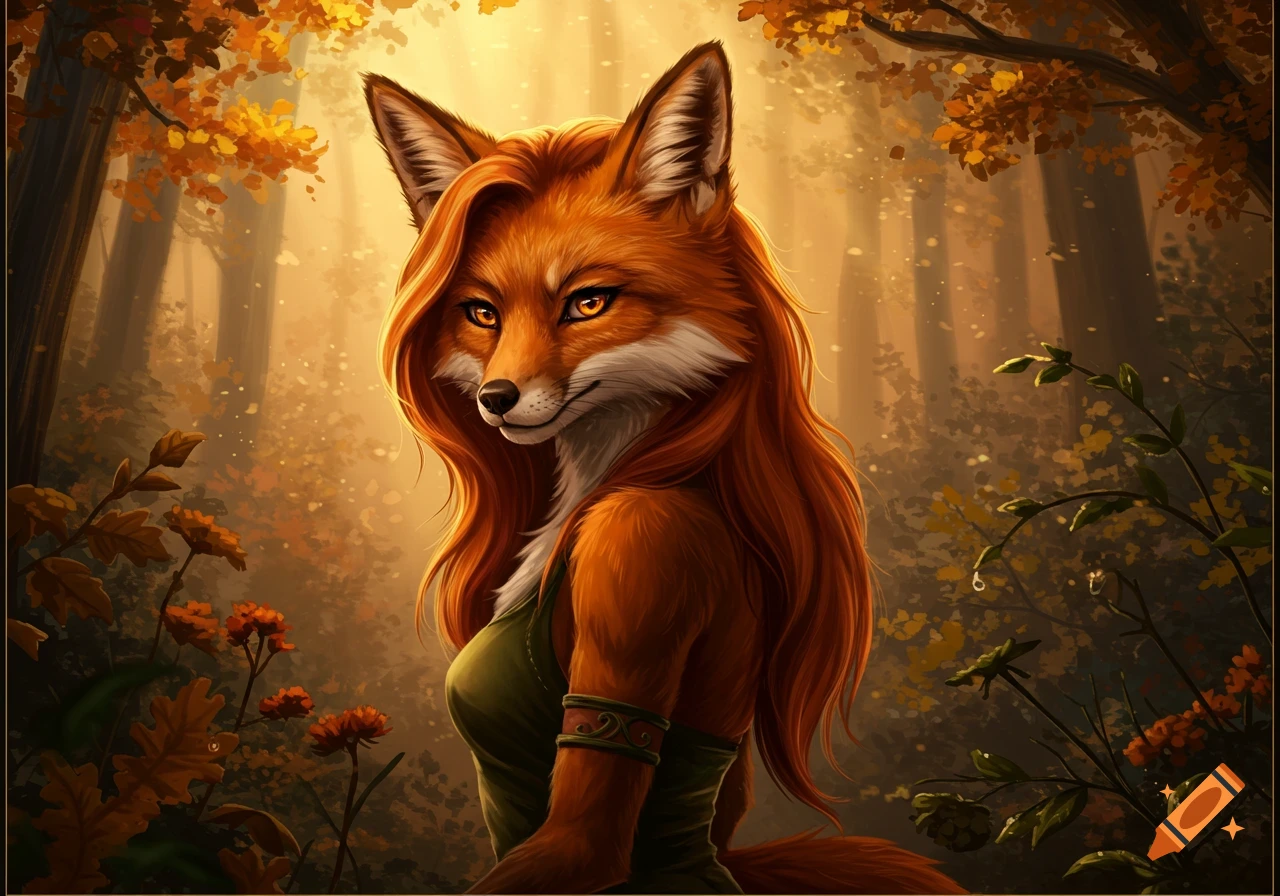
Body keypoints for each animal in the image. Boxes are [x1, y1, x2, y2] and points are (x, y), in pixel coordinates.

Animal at [365, 41, 965, 896]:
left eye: (586, 303)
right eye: (481, 313)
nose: (494, 399)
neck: (622, 474)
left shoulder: (640, 544)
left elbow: (587, 837)